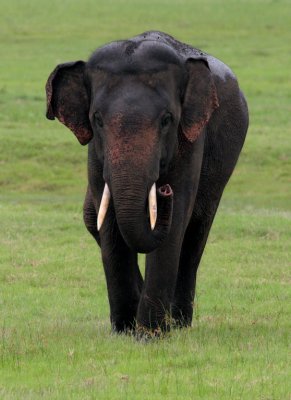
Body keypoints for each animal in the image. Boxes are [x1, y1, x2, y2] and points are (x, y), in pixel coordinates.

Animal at [45, 31, 249, 336]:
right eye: (97, 119)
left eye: (167, 120)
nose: (164, 190)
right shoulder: (95, 153)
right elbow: (108, 220)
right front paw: (124, 330)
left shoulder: (189, 140)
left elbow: (177, 220)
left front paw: (150, 335)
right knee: (91, 217)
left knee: (195, 233)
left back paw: (178, 324)